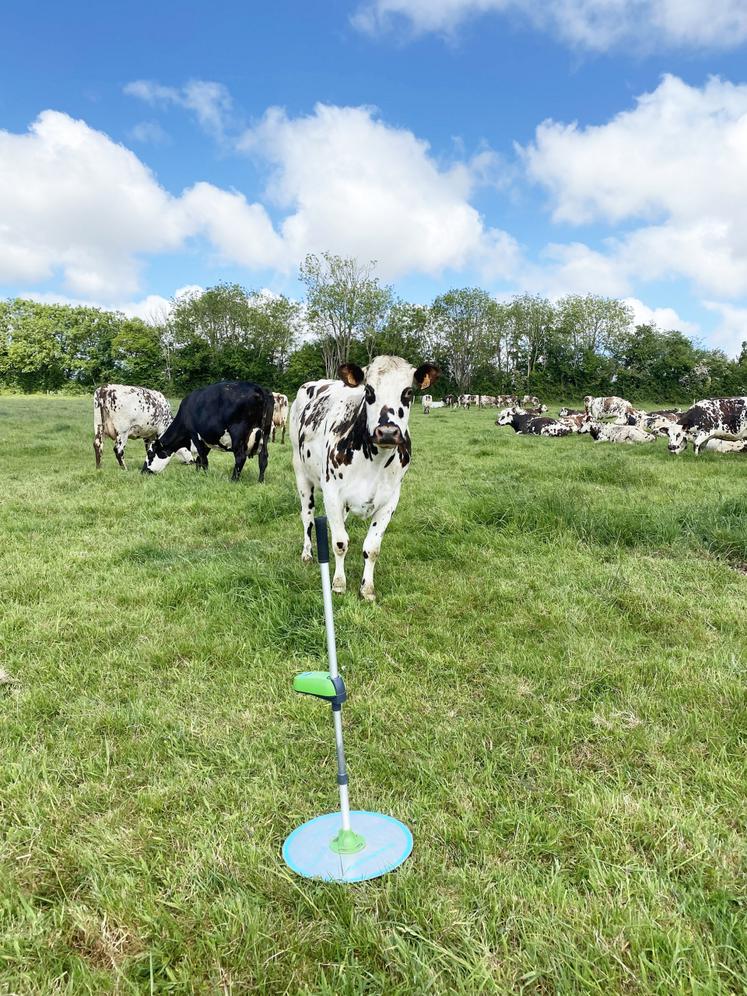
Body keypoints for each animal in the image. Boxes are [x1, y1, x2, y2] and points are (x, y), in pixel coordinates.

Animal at [143, 381, 273, 481]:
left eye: (150, 454)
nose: (143, 470)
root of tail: (259, 389)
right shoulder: (207, 440)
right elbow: (200, 459)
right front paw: (197, 473)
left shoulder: (195, 436)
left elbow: (203, 459)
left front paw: (205, 476)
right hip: (266, 432)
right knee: (263, 457)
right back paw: (260, 481)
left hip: (238, 433)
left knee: (240, 457)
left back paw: (233, 480)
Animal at [289, 355, 439, 602]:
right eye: (368, 391)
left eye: (408, 392)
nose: (387, 432)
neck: (373, 461)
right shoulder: (332, 494)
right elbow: (340, 543)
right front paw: (338, 584)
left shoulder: (390, 501)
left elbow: (372, 547)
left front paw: (367, 588)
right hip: (301, 473)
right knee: (307, 517)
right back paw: (307, 553)